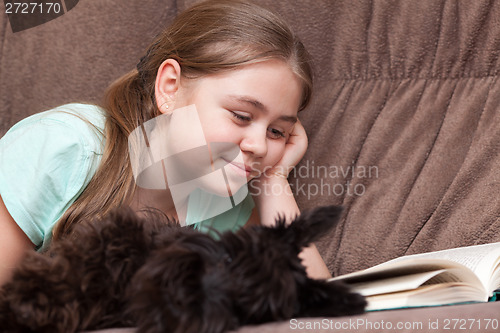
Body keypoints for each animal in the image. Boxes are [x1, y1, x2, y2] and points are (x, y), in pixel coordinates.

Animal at [0, 205, 368, 332]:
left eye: (246, 307)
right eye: (228, 258)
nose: (183, 295)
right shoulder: (118, 234)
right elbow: (86, 267)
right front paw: (34, 298)